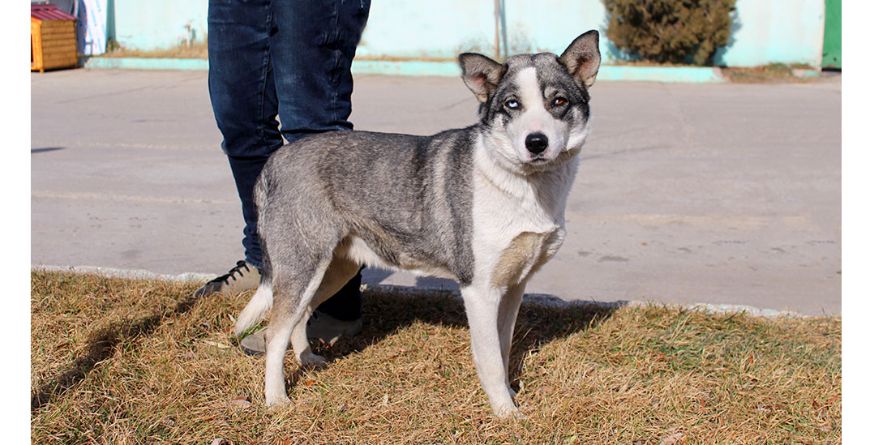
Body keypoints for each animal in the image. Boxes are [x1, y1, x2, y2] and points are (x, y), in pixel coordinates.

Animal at [232, 31, 604, 416]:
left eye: (558, 101)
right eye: (512, 104)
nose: (536, 143)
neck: (522, 184)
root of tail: (276, 160)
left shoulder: (514, 287)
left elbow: (503, 349)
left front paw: (509, 395)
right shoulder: (479, 290)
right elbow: (489, 359)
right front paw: (505, 412)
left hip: (333, 270)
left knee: (300, 315)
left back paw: (307, 359)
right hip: (303, 267)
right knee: (275, 331)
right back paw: (276, 399)